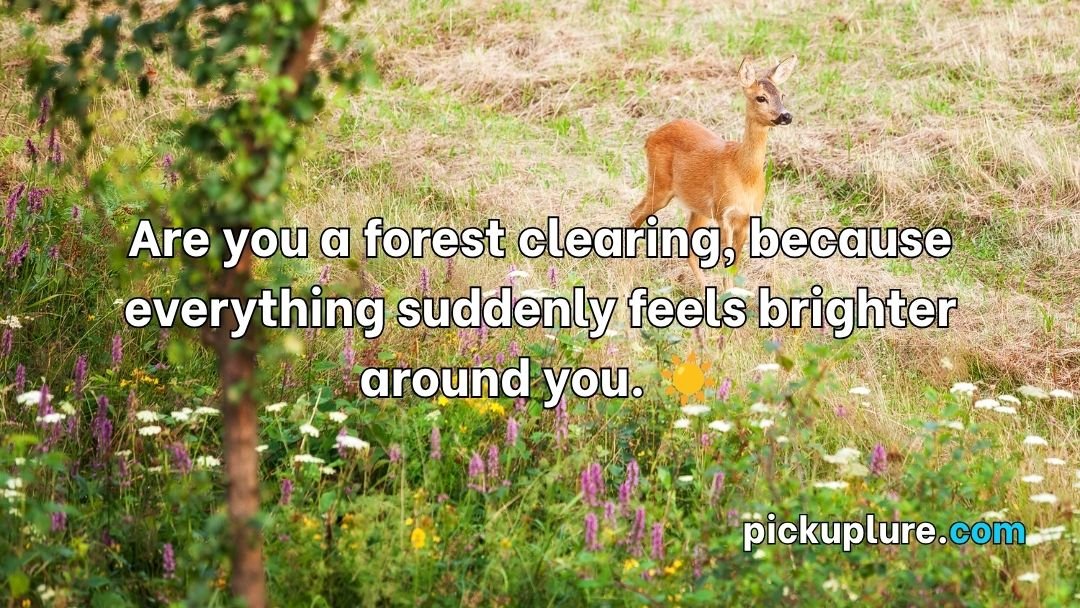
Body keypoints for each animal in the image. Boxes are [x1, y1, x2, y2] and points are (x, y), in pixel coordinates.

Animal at [629, 55, 798, 292]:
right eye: (761, 98)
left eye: (782, 95)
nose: (786, 115)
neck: (744, 174)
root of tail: (650, 137)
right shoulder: (723, 212)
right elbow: (726, 263)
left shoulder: (748, 217)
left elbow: (734, 265)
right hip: (659, 183)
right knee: (634, 214)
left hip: (698, 207)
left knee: (687, 245)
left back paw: (703, 288)